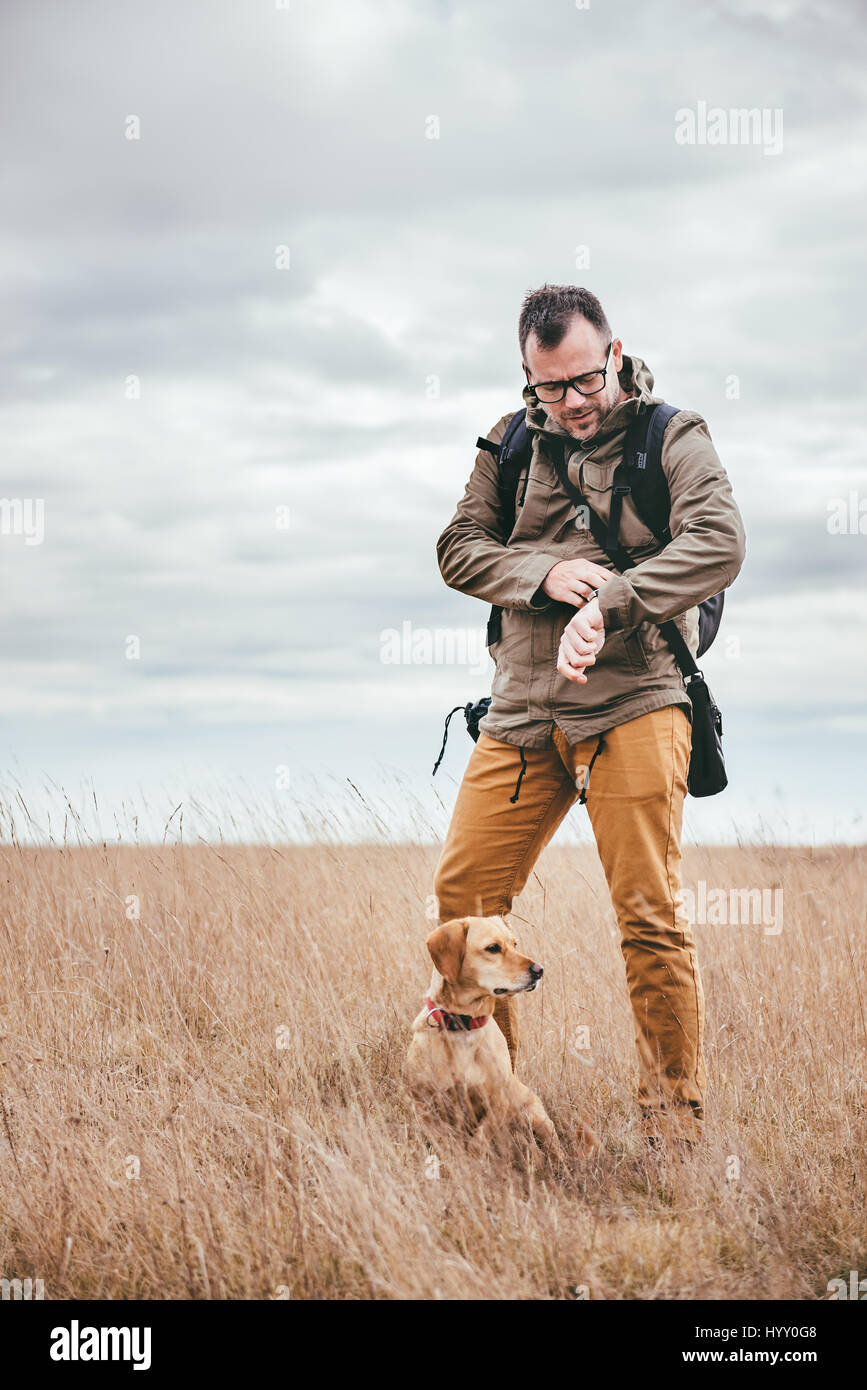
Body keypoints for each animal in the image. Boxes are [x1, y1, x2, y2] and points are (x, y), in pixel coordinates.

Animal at [405, 911, 594, 1162]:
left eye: (514, 944)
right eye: (493, 948)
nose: (540, 970)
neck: (463, 1025)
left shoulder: (498, 1101)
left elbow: (479, 1141)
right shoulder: (424, 1106)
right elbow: (447, 1144)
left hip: (537, 1116)